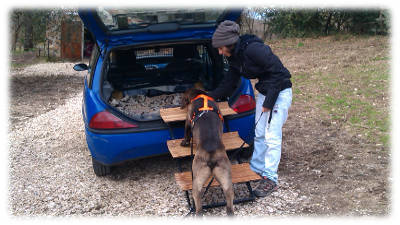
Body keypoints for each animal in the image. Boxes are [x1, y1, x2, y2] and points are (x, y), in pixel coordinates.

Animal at [180, 88, 233, 216]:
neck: (200, 95)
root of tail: (211, 154)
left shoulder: (187, 121)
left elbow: (186, 133)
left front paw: (184, 142)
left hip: (196, 180)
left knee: (198, 206)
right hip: (226, 180)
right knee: (230, 204)